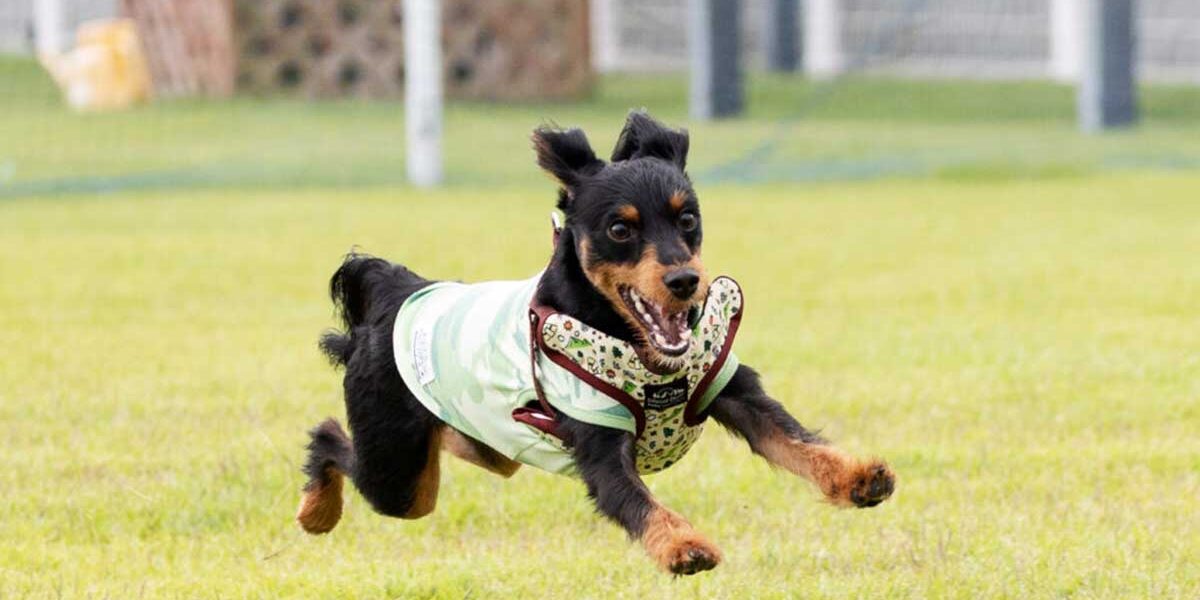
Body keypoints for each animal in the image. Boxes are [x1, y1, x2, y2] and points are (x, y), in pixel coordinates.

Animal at [296, 111, 895, 575]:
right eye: (620, 230)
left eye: (688, 219)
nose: (685, 280)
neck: (643, 354)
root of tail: (401, 291)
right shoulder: (599, 444)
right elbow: (635, 500)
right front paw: (684, 545)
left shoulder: (734, 391)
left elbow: (796, 440)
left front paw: (857, 478)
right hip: (395, 469)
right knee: (330, 437)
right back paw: (315, 511)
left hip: (475, 447)